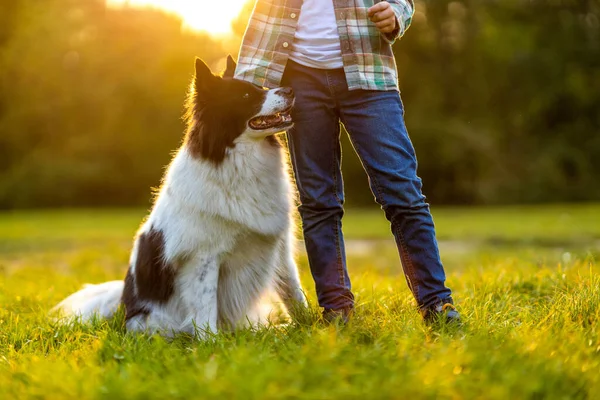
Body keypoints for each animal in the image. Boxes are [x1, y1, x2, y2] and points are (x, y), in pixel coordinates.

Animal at [52, 55, 308, 338]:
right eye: (244, 95)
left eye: (260, 86)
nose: (290, 90)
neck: (237, 160)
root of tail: (124, 307)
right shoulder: (203, 256)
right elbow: (205, 304)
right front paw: (211, 342)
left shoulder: (278, 247)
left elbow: (294, 291)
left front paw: (312, 324)